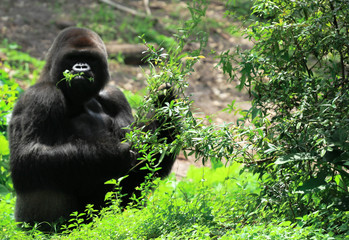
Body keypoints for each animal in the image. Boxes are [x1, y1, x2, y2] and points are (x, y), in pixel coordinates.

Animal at [9, 27, 178, 225]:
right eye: (73, 58)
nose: (81, 67)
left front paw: (165, 106)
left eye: (90, 58)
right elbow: (27, 159)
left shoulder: (115, 96)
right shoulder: (41, 97)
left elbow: (147, 165)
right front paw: (112, 155)